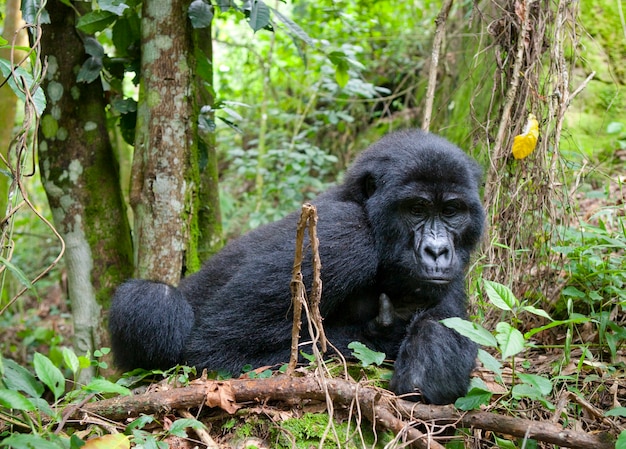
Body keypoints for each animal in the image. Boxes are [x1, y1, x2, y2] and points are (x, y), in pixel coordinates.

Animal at [109, 128, 486, 404]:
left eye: (451, 211)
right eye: (416, 209)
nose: (437, 251)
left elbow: (441, 345)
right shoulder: (344, 236)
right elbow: (217, 349)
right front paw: (384, 334)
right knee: (153, 300)